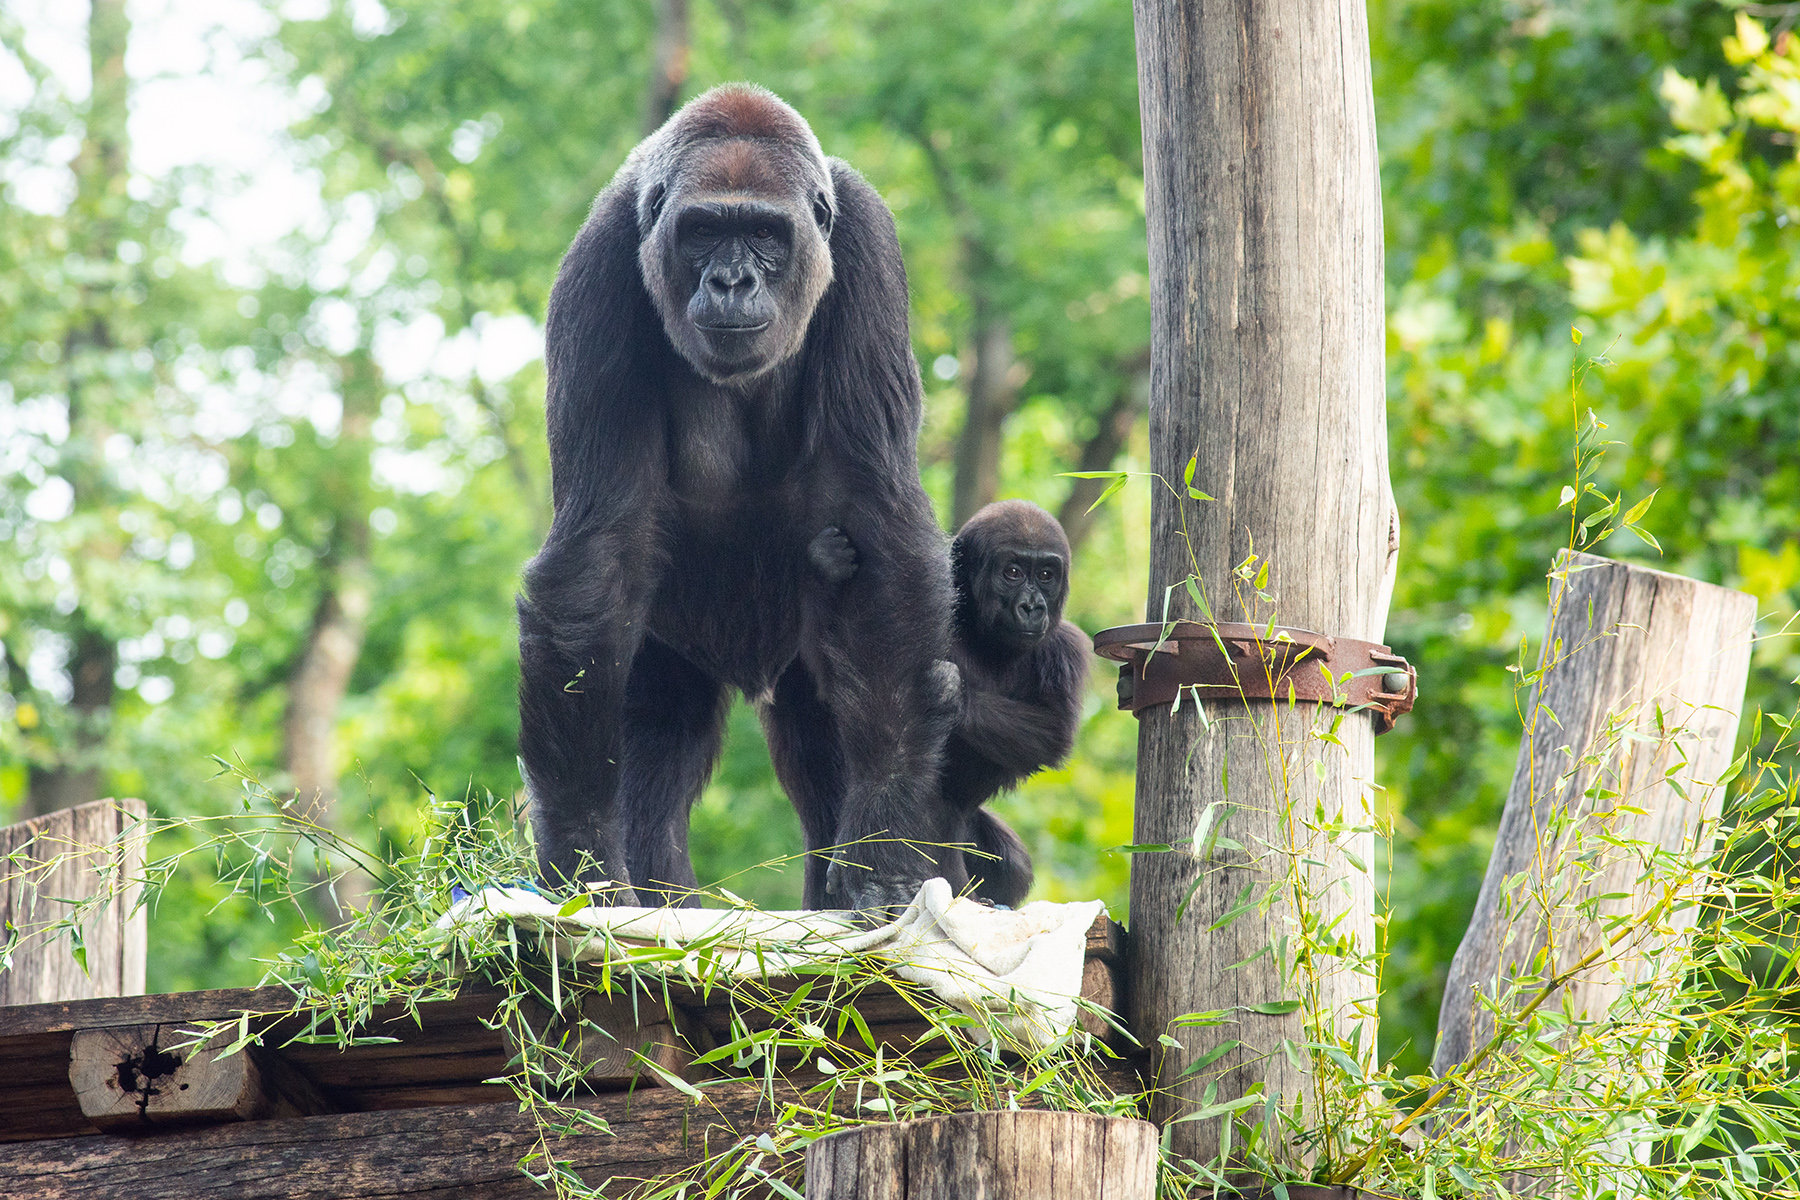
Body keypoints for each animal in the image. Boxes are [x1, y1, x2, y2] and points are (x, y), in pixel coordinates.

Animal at [518, 84, 957, 910]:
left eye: (762, 233)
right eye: (702, 232)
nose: (730, 282)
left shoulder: (867, 240)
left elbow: (876, 523)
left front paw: (881, 850)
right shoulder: (599, 264)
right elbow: (599, 553)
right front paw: (583, 862)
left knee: (820, 729)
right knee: (656, 733)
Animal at [813, 503, 1087, 906]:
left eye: (1046, 575)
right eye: (1013, 572)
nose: (1032, 606)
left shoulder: (1066, 648)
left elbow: (1054, 733)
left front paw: (954, 694)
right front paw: (826, 566)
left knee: (1012, 865)